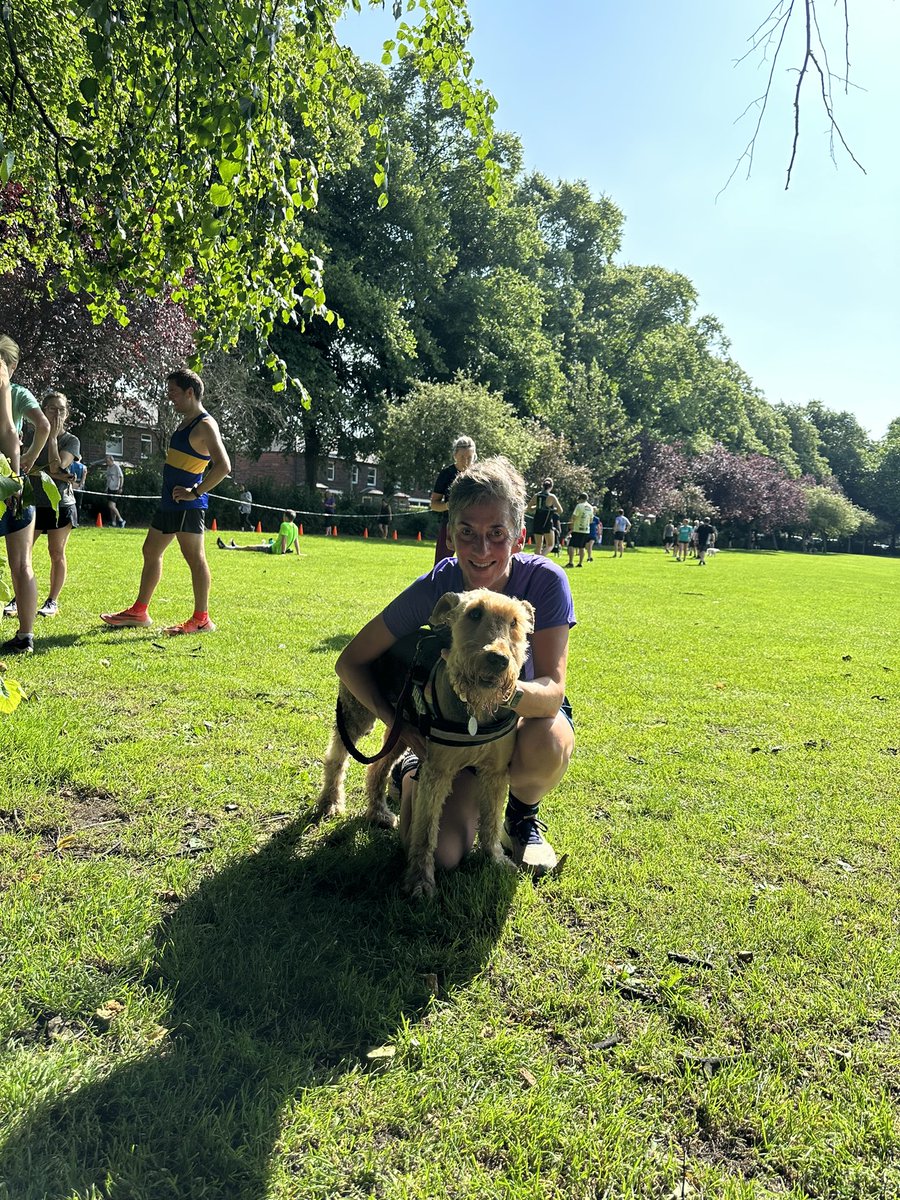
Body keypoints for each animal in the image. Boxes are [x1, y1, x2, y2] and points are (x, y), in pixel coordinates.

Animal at [314, 585, 532, 897]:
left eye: (515, 622)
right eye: (474, 613)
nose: (498, 659)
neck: (475, 711)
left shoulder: (496, 772)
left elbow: (491, 822)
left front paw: (496, 860)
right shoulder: (436, 773)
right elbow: (426, 831)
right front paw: (420, 881)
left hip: (400, 733)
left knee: (377, 769)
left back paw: (379, 812)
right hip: (357, 716)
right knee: (336, 759)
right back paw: (330, 802)